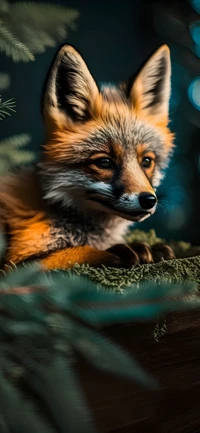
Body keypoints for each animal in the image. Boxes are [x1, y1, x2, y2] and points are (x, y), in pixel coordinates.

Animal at [0, 43, 175, 266]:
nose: (149, 200)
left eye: (146, 161)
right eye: (104, 162)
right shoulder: (16, 265)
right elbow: (72, 251)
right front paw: (117, 251)